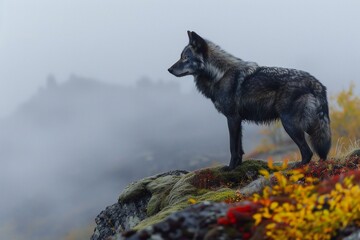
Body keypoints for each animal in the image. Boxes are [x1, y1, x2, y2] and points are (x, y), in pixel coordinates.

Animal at [167, 31, 330, 170]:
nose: (169, 69)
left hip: (290, 124)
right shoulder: (238, 120)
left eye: (185, 58)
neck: (219, 74)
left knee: (308, 152)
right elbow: (239, 148)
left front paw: (230, 168)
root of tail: (316, 82)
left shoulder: (232, 118)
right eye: (181, 56)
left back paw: (296, 167)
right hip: (310, 126)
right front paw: (238, 165)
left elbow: (232, 147)